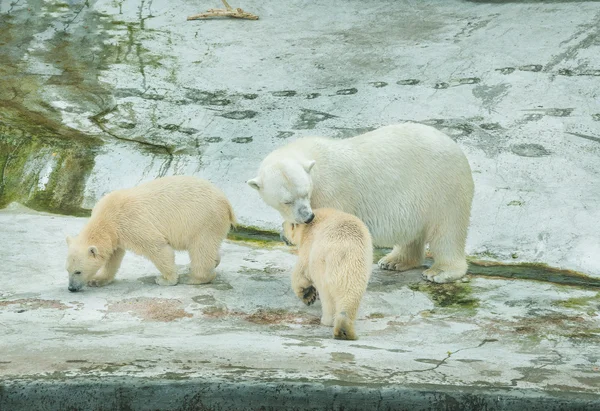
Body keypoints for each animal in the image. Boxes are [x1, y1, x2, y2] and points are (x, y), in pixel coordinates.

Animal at [65, 175, 234, 292]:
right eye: (67, 270)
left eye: (78, 272)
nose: (71, 288)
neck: (107, 218)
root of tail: (226, 202)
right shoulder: (116, 235)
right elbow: (113, 257)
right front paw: (97, 280)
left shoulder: (130, 222)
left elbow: (157, 247)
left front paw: (166, 279)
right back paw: (214, 261)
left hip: (203, 219)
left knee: (201, 248)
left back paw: (194, 277)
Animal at [247, 122, 474, 284]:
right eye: (286, 201)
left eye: (306, 192)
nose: (308, 216)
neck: (314, 158)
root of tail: (456, 148)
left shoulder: (332, 192)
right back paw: (394, 261)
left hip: (443, 187)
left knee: (447, 231)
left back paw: (440, 272)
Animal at [280, 209, 370, 342]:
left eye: (283, 226)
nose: (281, 234)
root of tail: (342, 253)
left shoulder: (309, 243)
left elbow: (302, 271)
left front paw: (308, 295)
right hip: (357, 269)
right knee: (351, 294)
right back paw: (345, 330)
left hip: (322, 267)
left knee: (327, 297)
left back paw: (328, 321)